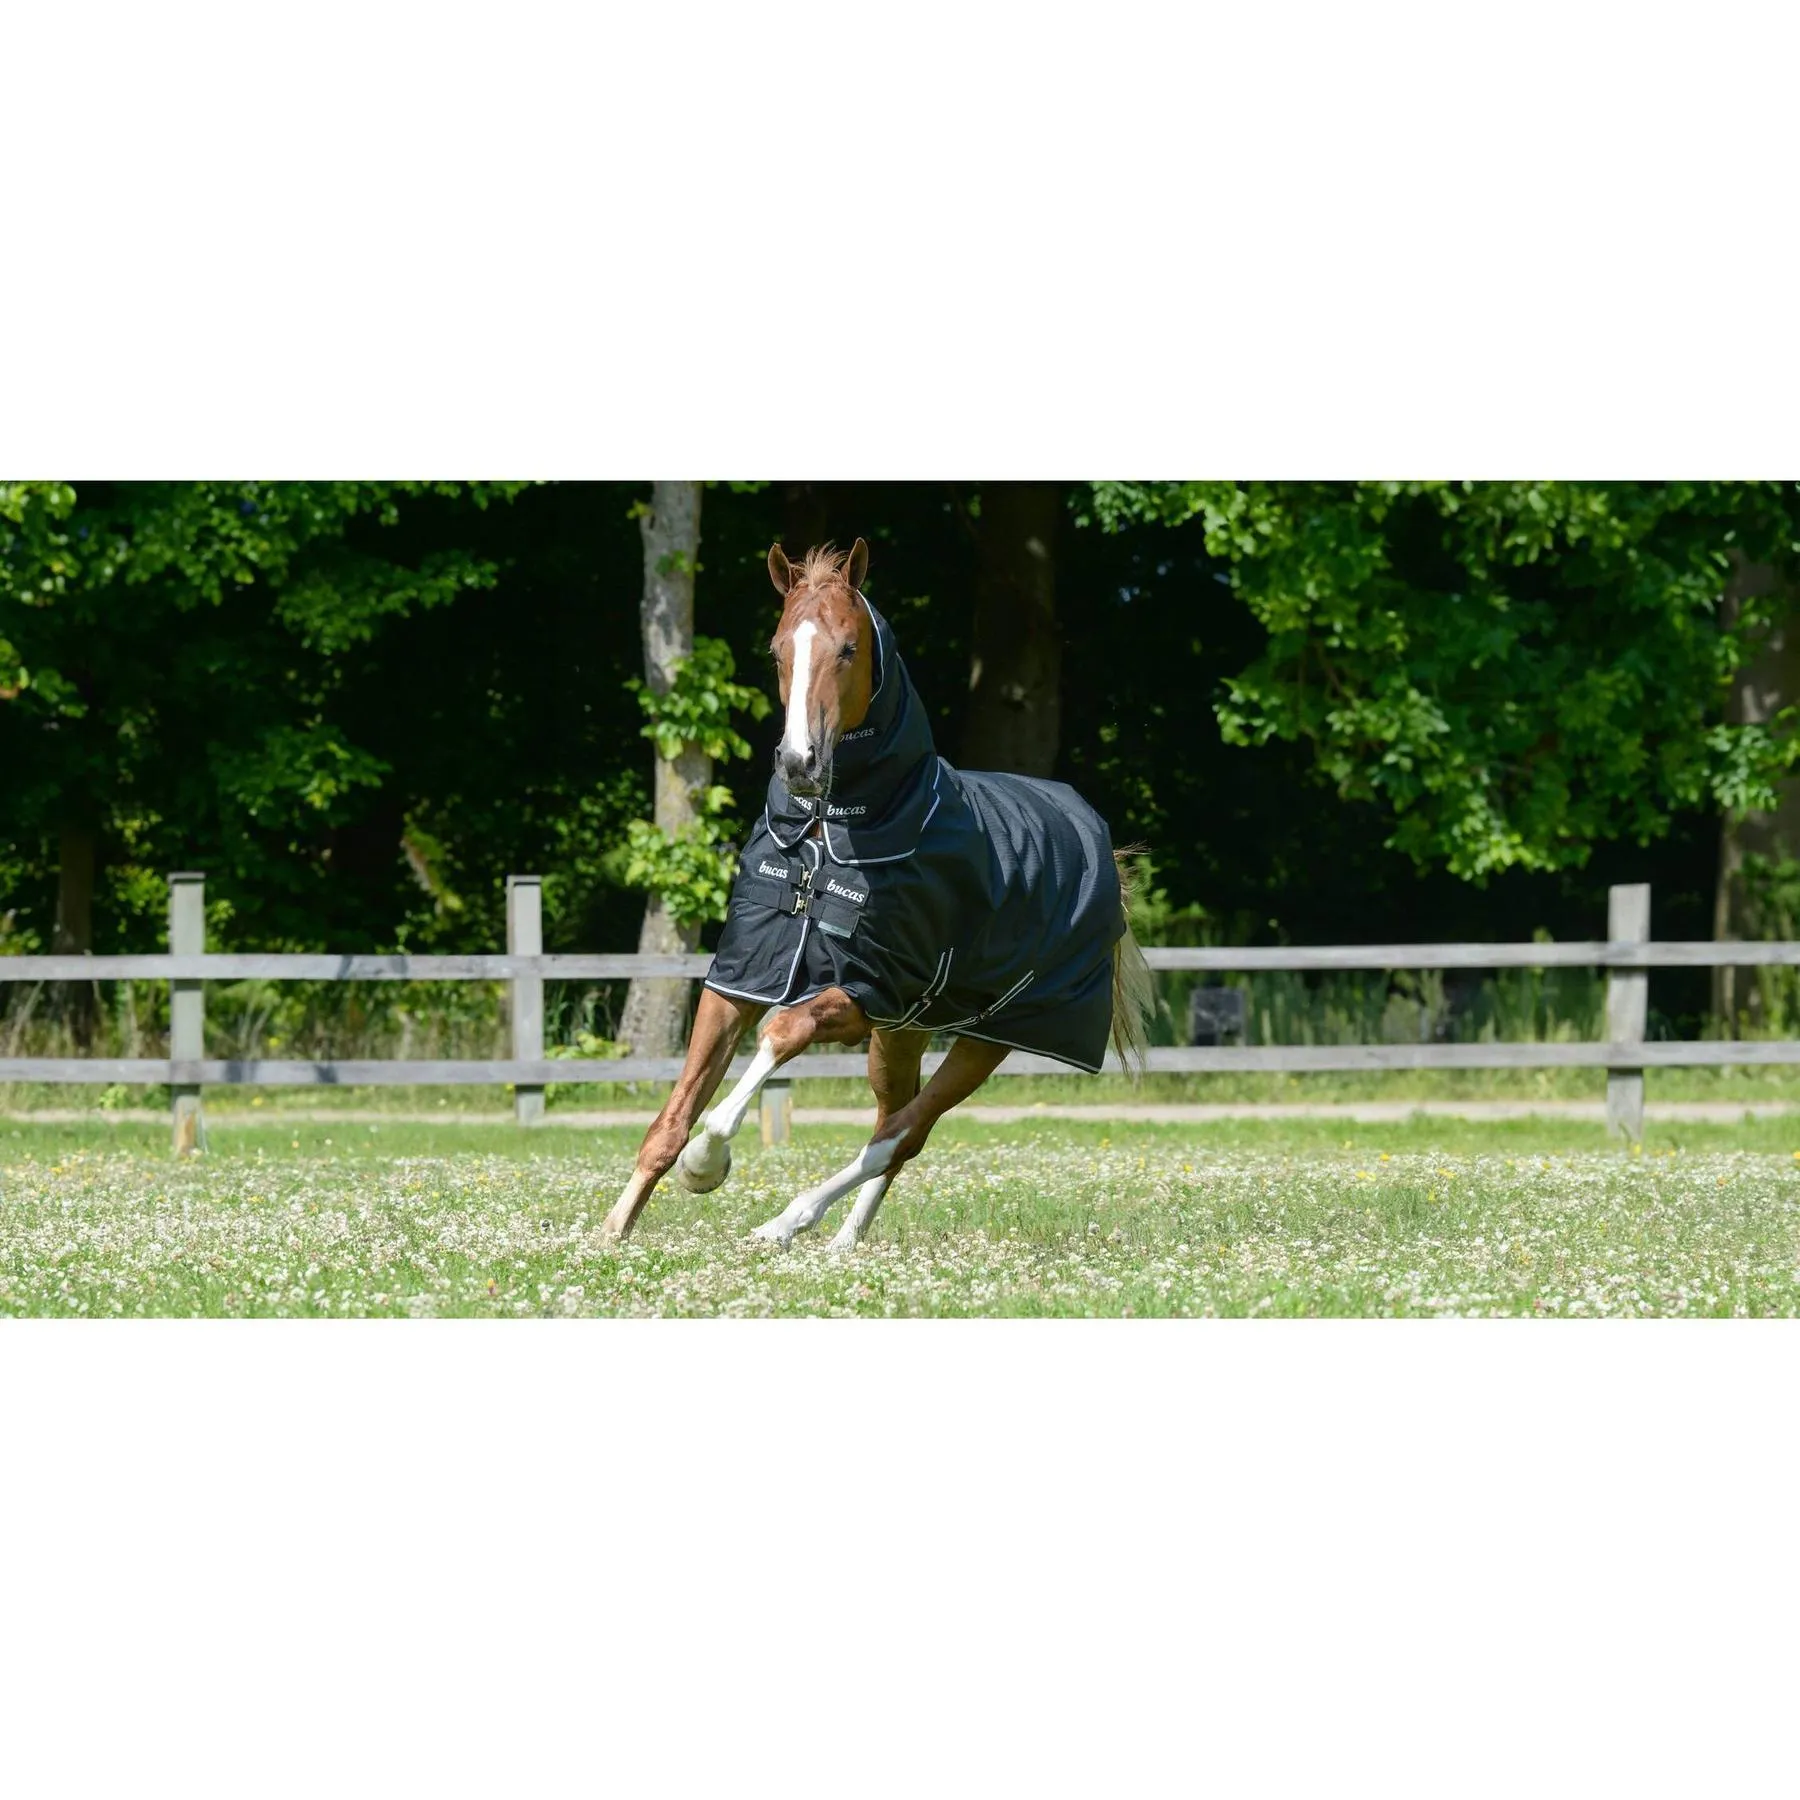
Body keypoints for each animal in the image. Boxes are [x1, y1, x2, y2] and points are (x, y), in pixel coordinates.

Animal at [600, 538, 1153, 1250]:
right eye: (777, 650)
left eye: (848, 648)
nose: (800, 764)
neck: (831, 832)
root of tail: (1099, 850)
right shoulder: (742, 977)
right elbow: (673, 1115)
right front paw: (611, 1231)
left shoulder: (870, 989)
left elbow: (782, 1031)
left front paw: (707, 1161)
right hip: (904, 1035)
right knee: (894, 1121)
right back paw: (843, 1243)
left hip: (985, 1038)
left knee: (902, 1134)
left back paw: (786, 1222)